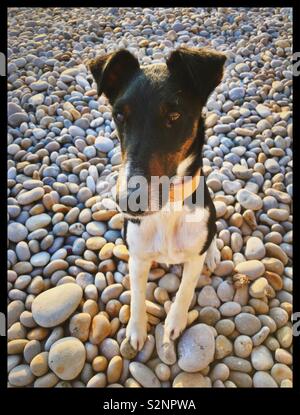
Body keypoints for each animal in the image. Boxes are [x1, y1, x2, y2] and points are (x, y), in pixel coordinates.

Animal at [88, 46, 225, 352]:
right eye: (119, 115)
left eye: (174, 115)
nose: (129, 201)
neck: (168, 209)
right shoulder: (137, 257)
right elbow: (138, 295)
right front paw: (136, 330)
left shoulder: (193, 257)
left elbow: (185, 290)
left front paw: (174, 323)